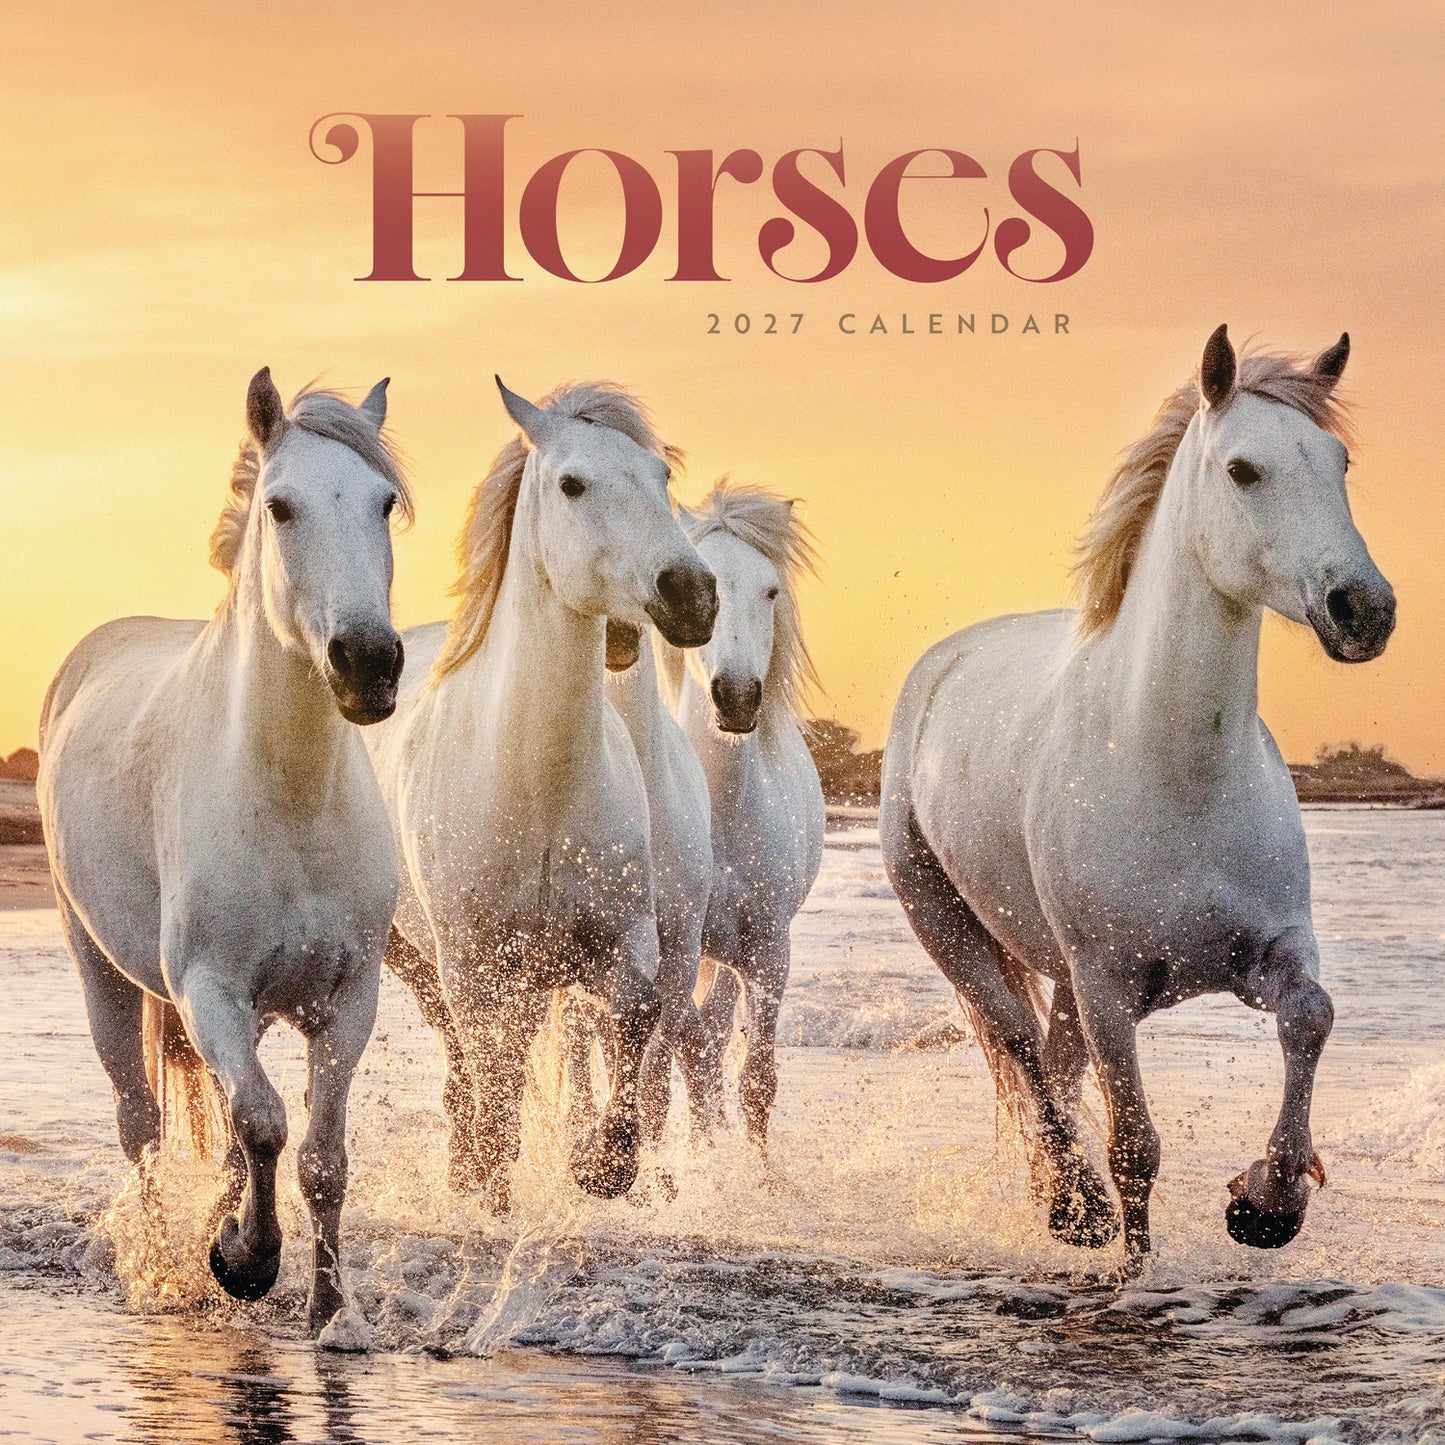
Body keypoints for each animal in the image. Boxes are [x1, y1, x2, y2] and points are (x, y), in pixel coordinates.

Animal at [38, 369, 409, 1331]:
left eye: (384, 503)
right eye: (280, 506)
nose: (368, 662)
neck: (289, 799)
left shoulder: (347, 998)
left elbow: (318, 1155)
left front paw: (328, 1312)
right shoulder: (208, 988)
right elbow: (268, 1124)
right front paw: (244, 1260)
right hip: (101, 968)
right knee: (141, 1122)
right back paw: (164, 1265)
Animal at [364, 379, 717, 1212]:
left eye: (660, 477)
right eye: (571, 484)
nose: (691, 593)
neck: (538, 788)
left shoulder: (627, 944)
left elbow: (635, 1021)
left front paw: (602, 1165)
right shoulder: (473, 963)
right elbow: (493, 1074)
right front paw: (494, 1187)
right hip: (418, 959)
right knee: (467, 1063)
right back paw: (468, 1173)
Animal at [880, 327, 1395, 1263]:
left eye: (1337, 460)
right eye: (1242, 469)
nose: (1361, 608)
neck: (1175, 773)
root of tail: (939, 666)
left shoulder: (1267, 951)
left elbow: (1311, 1016)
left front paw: (1266, 1202)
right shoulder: (1109, 986)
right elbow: (1134, 1149)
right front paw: (1137, 1262)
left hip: (1060, 976)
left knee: (1052, 1061)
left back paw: (1058, 1198)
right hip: (948, 924)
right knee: (1018, 1043)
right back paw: (1071, 1203)